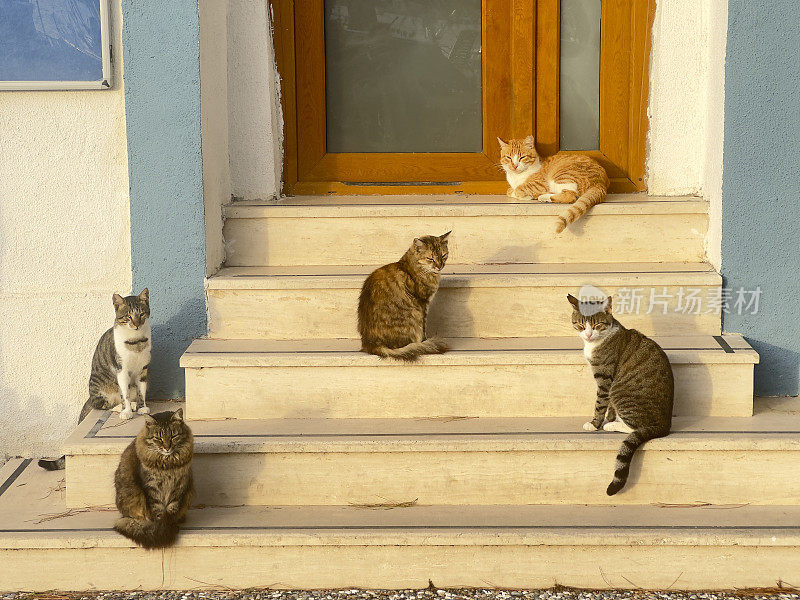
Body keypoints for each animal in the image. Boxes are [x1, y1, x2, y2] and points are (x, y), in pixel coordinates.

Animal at [113, 408, 195, 548]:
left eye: (173, 436)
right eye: (158, 438)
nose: (167, 448)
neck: (168, 464)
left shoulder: (179, 485)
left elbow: (172, 508)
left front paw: (170, 523)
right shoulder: (152, 487)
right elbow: (158, 512)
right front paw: (163, 528)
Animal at [568, 292, 676, 494]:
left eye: (596, 325)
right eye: (581, 325)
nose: (588, 334)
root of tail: (665, 425)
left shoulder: (605, 378)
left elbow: (600, 404)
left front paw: (595, 424)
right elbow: (609, 407)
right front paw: (609, 418)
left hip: (621, 392)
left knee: (634, 427)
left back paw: (612, 426)